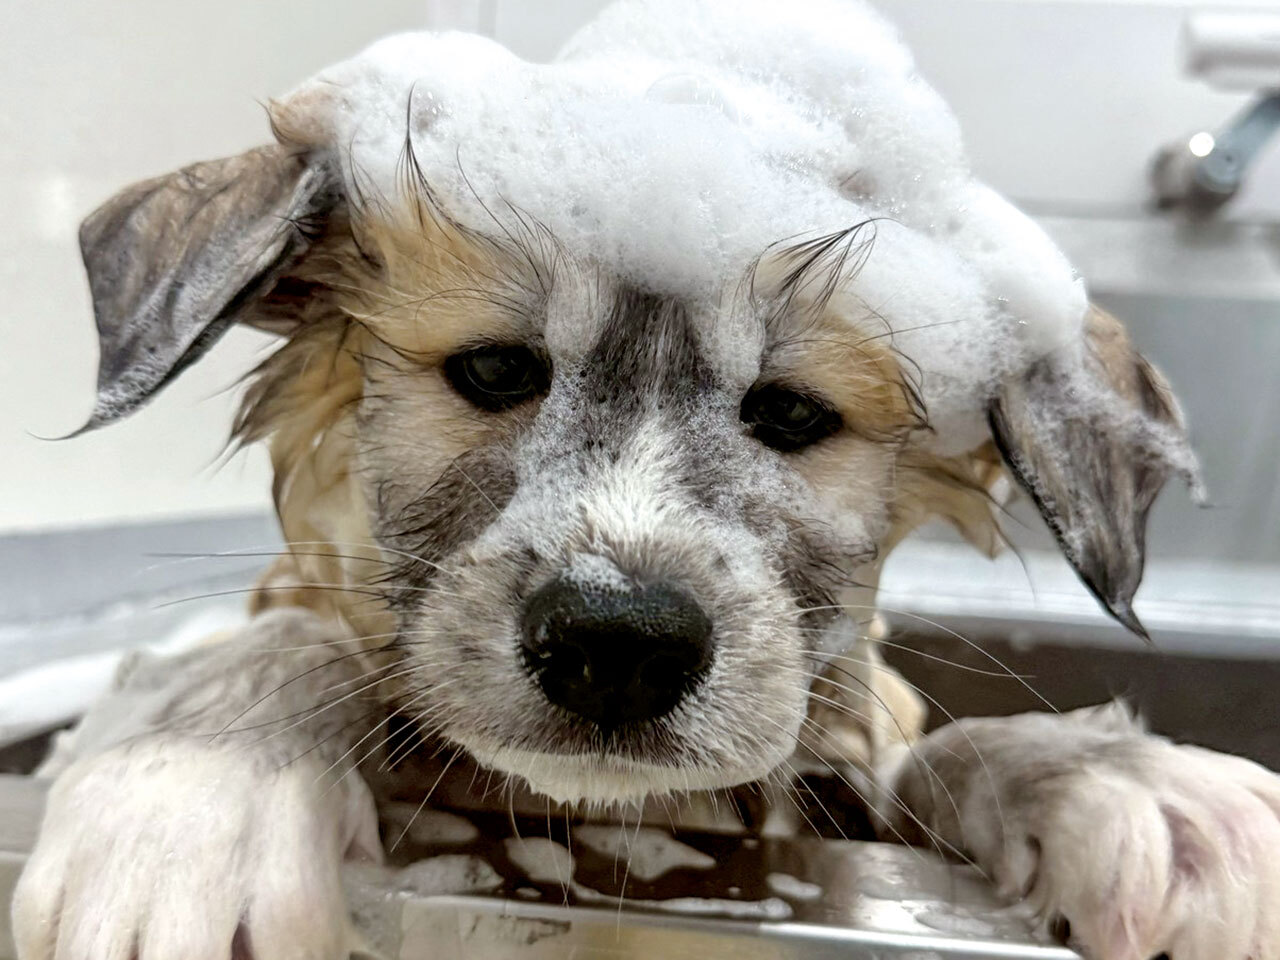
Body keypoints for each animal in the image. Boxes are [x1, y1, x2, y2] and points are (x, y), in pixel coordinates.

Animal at [13, 2, 1280, 959]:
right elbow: (289, 640)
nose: (616, 643)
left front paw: (1121, 782)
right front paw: (192, 788)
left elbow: (940, 747)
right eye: (493, 369)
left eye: (789, 413)